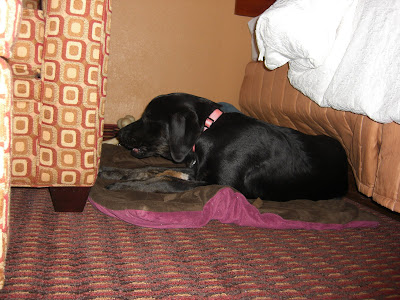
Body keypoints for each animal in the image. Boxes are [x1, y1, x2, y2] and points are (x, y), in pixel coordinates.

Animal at [101, 93, 348, 202]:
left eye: (148, 118)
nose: (118, 134)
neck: (207, 131)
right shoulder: (194, 169)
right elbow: (149, 170)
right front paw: (111, 172)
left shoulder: (219, 184)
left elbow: (165, 180)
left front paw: (122, 186)